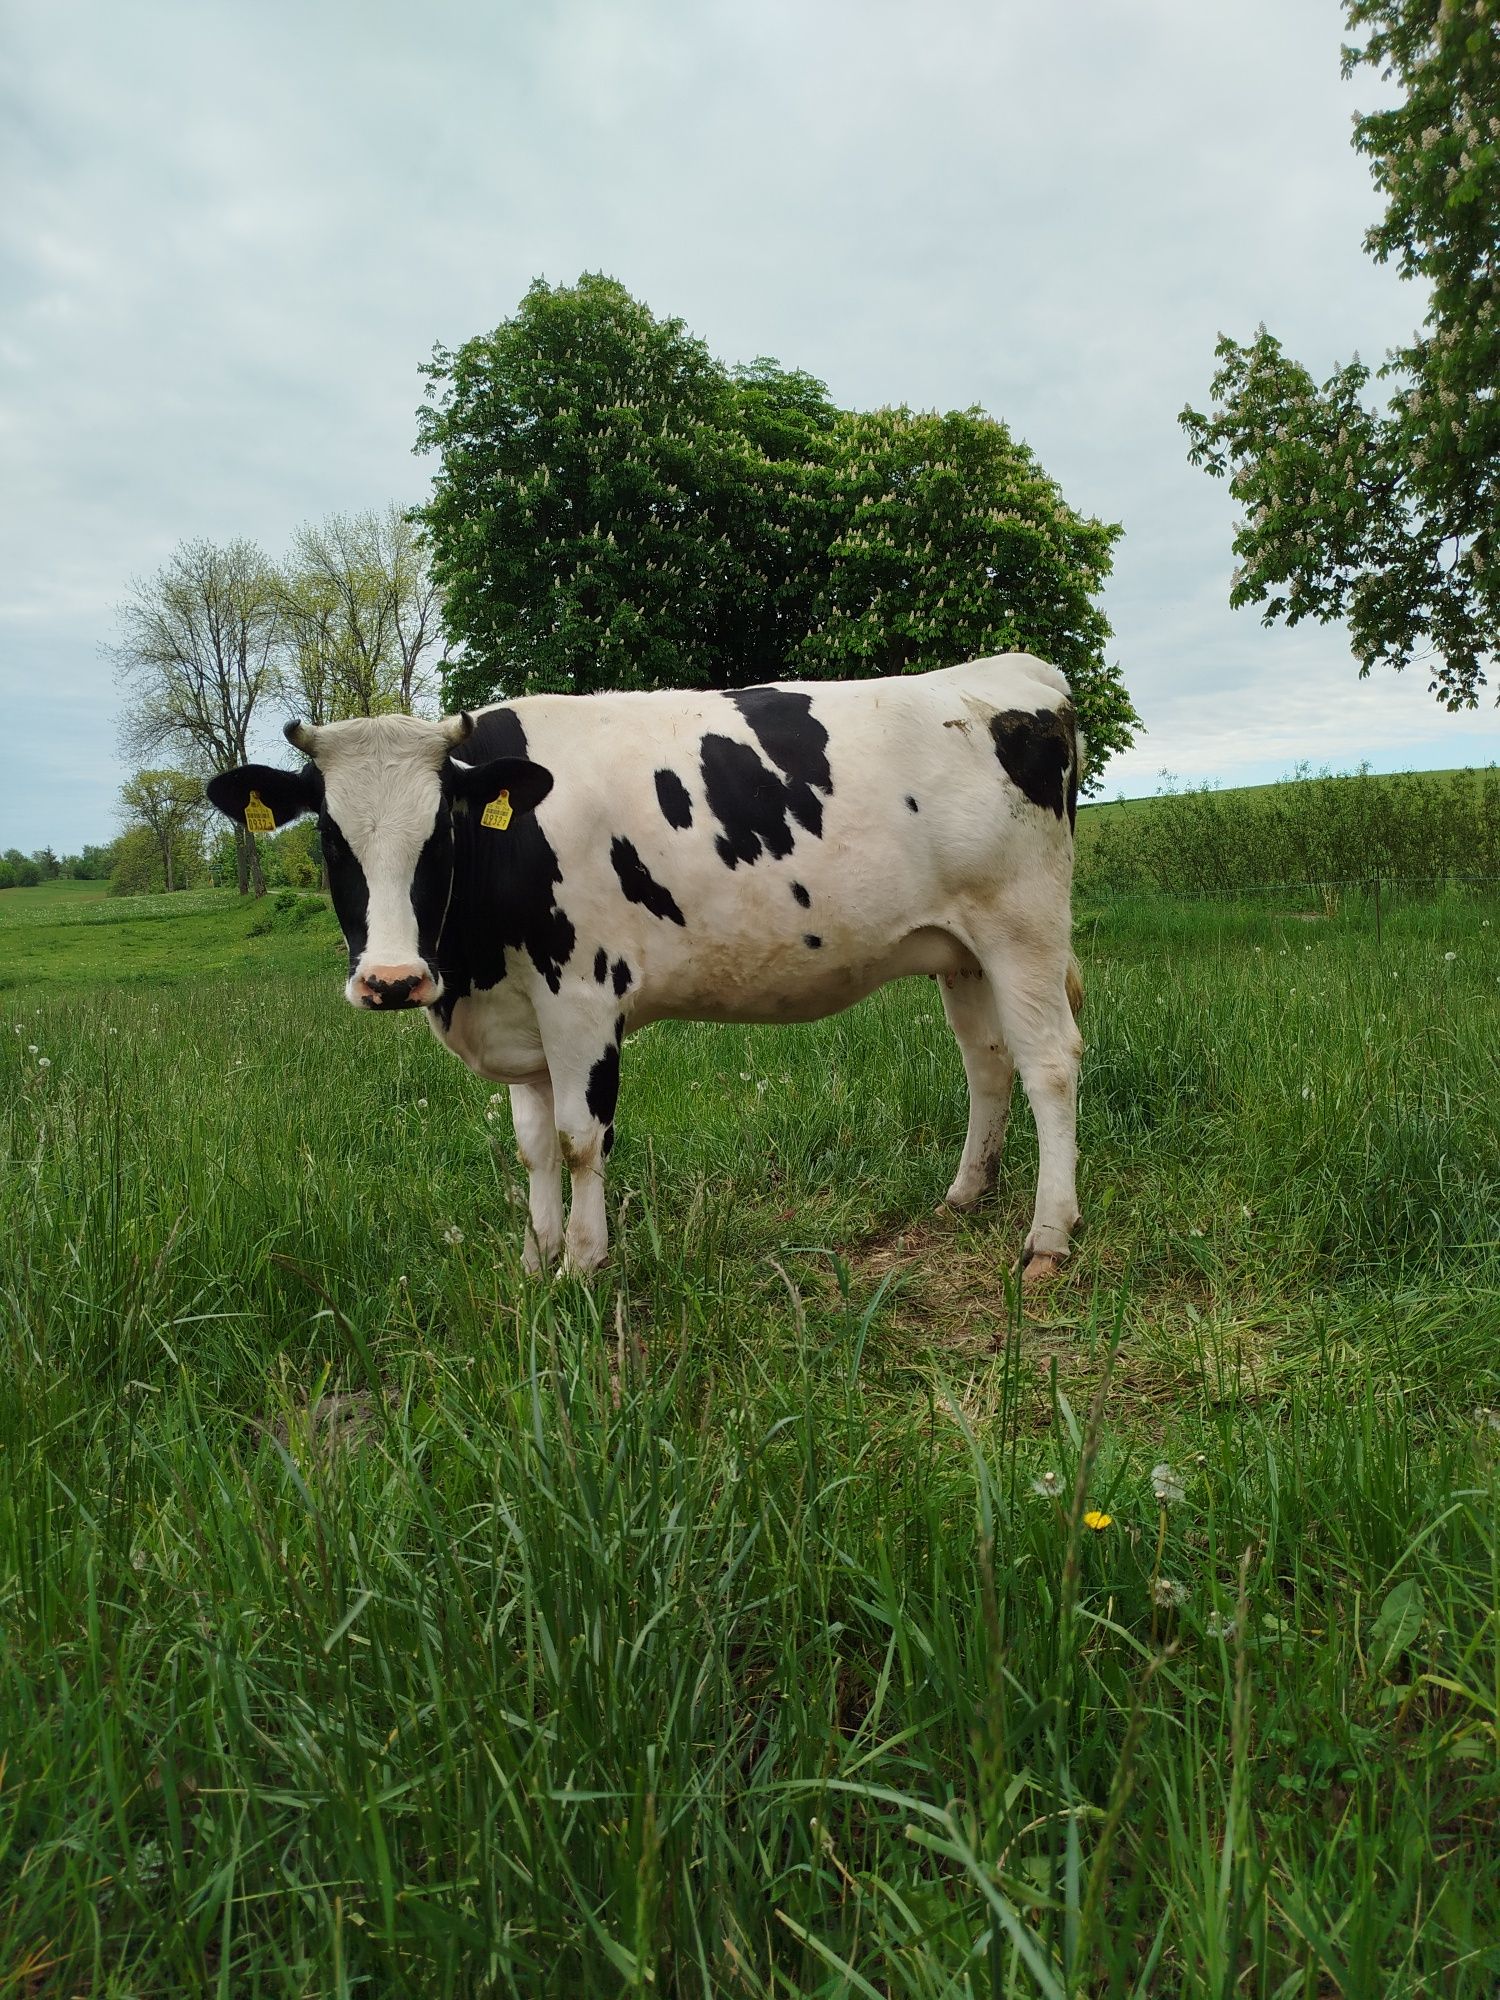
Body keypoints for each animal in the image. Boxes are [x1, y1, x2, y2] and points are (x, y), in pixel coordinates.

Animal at [206, 656, 1088, 1280]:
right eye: (329, 835)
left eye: (441, 830)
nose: (391, 980)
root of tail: (1014, 670)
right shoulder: (522, 1016)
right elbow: (531, 1146)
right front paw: (534, 1261)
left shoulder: (581, 998)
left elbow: (578, 1139)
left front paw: (582, 1266)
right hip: (962, 950)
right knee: (987, 1062)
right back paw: (966, 1194)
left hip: (1023, 927)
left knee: (1050, 1062)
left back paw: (1048, 1237)